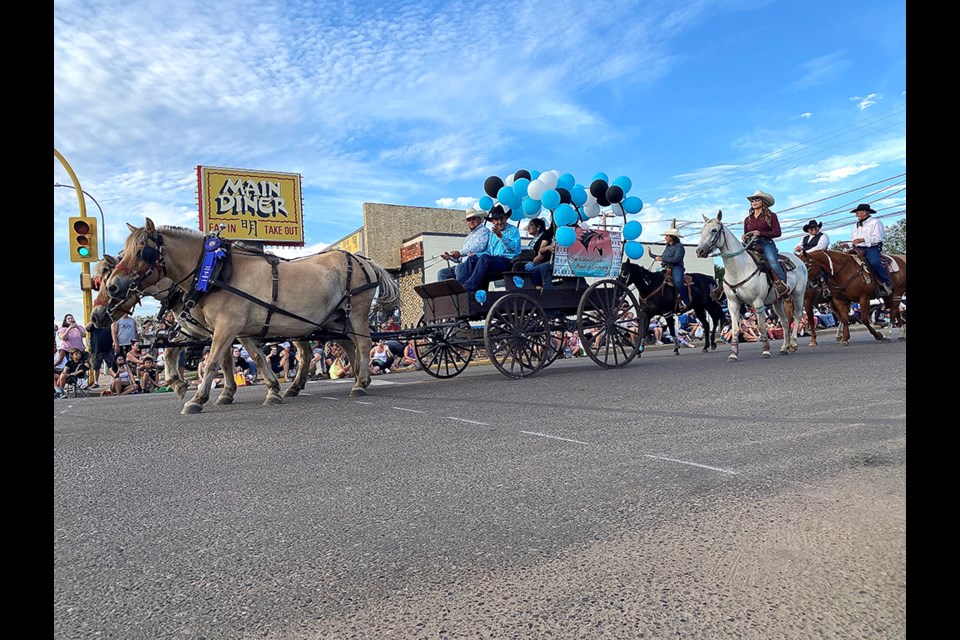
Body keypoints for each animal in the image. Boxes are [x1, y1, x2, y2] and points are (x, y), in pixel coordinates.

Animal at [89, 255, 310, 400]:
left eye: (109, 286)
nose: (95, 316)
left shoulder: (223, 328)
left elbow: (223, 359)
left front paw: (225, 391)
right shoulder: (199, 330)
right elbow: (172, 352)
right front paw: (180, 383)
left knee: (304, 352)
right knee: (305, 352)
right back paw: (295, 386)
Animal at [692, 210, 808, 360]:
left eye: (714, 230)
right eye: (701, 231)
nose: (699, 251)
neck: (738, 269)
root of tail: (799, 260)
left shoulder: (758, 302)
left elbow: (761, 327)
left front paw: (766, 351)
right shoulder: (733, 304)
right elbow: (735, 329)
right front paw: (733, 354)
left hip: (798, 294)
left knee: (797, 315)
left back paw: (793, 344)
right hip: (777, 301)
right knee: (785, 322)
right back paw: (784, 348)